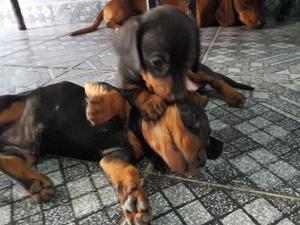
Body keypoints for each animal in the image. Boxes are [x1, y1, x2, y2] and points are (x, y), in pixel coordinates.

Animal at [0, 81, 223, 225]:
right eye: (194, 116)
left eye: (207, 143)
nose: (202, 160)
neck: (133, 127)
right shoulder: (101, 87)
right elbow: (116, 95)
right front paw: (99, 108)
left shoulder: (114, 156)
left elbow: (129, 172)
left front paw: (134, 200)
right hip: (11, 104)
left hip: (27, 151)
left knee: (6, 159)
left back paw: (34, 183)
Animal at [113, 5, 254, 121]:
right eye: (157, 62)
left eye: (188, 61)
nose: (178, 98)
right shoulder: (126, 86)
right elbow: (140, 92)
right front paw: (151, 103)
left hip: (196, 72)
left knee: (217, 81)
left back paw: (234, 95)